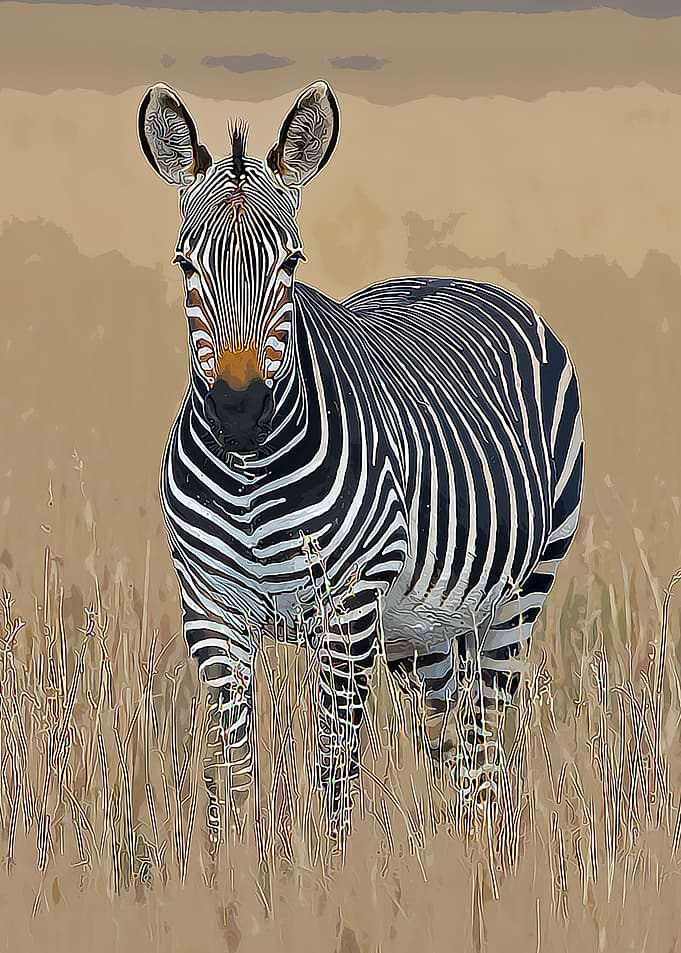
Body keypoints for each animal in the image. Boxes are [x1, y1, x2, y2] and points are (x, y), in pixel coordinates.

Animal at [137, 80, 584, 836]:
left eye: (290, 263)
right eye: (184, 265)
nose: (239, 411)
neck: (249, 476)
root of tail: (450, 278)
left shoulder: (346, 610)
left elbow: (333, 769)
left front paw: (329, 868)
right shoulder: (210, 611)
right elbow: (233, 769)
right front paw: (230, 864)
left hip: (519, 593)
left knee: (484, 738)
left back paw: (483, 853)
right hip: (420, 625)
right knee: (446, 739)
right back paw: (448, 849)